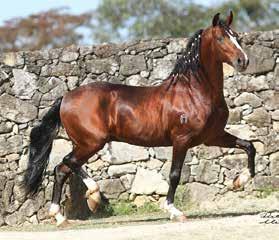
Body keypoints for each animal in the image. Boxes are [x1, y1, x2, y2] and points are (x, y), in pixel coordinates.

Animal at [24, 11, 256, 225]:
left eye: (236, 36)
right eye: (220, 38)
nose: (243, 61)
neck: (194, 92)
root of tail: (65, 97)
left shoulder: (212, 137)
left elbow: (249, 146)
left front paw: (240, 180)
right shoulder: (181, 140)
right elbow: (174, 175)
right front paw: (174, 211)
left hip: (84, 143)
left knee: (64, 168)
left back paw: (69, 211)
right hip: (92, 142)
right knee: (65, 164)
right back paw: (85, 202)